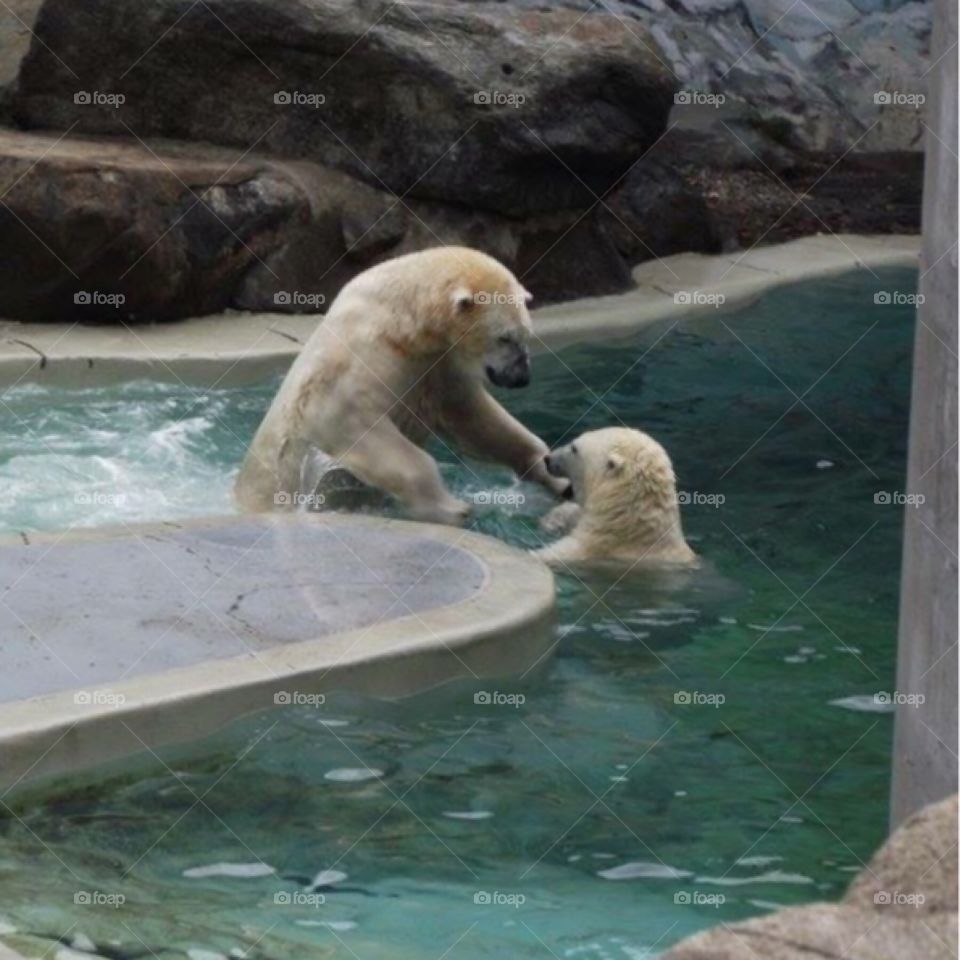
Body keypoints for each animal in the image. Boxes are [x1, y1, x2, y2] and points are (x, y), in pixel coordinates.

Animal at [234, 246, 569, 524]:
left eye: (526, 334)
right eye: (504, 338)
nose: (521, 377)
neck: (404, 322)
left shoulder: (438, 364)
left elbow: (476, 418)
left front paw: (555, 476)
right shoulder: (358, 361)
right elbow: (355, 423)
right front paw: (452, 508)